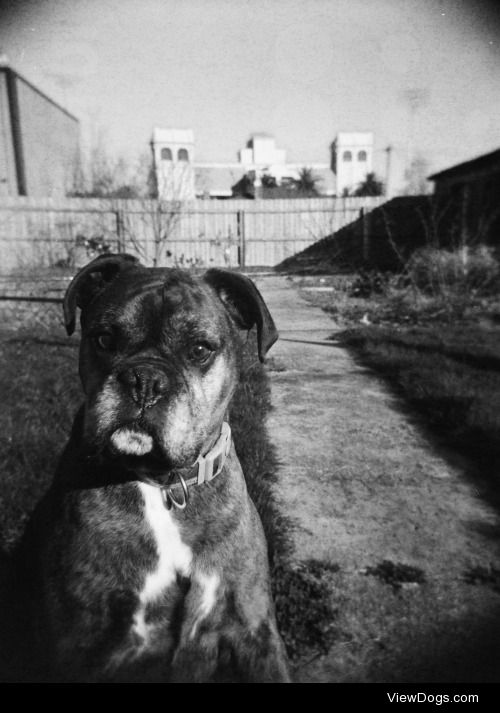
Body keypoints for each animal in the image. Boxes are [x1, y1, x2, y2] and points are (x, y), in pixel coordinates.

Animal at [18, 253, 290, 680]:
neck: (163, 484)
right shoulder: (82, 649)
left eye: (199, 349)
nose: (144, 379)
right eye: (104, 338)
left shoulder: (255, 632)